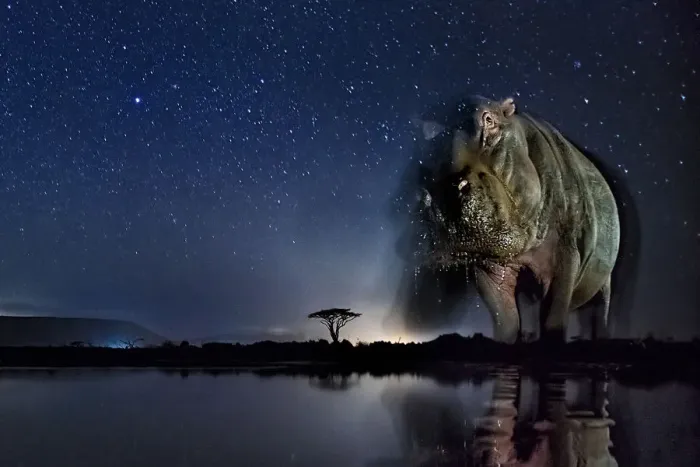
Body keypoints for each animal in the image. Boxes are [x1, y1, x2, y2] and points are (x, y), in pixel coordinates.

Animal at [389, 95, 637, 344]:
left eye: (489, 119)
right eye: (425, 136)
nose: (442, 195)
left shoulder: (567, 254)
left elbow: (553, 316)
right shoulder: (488, 265)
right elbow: (505, 319)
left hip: (604, 279)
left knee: (599, 310)